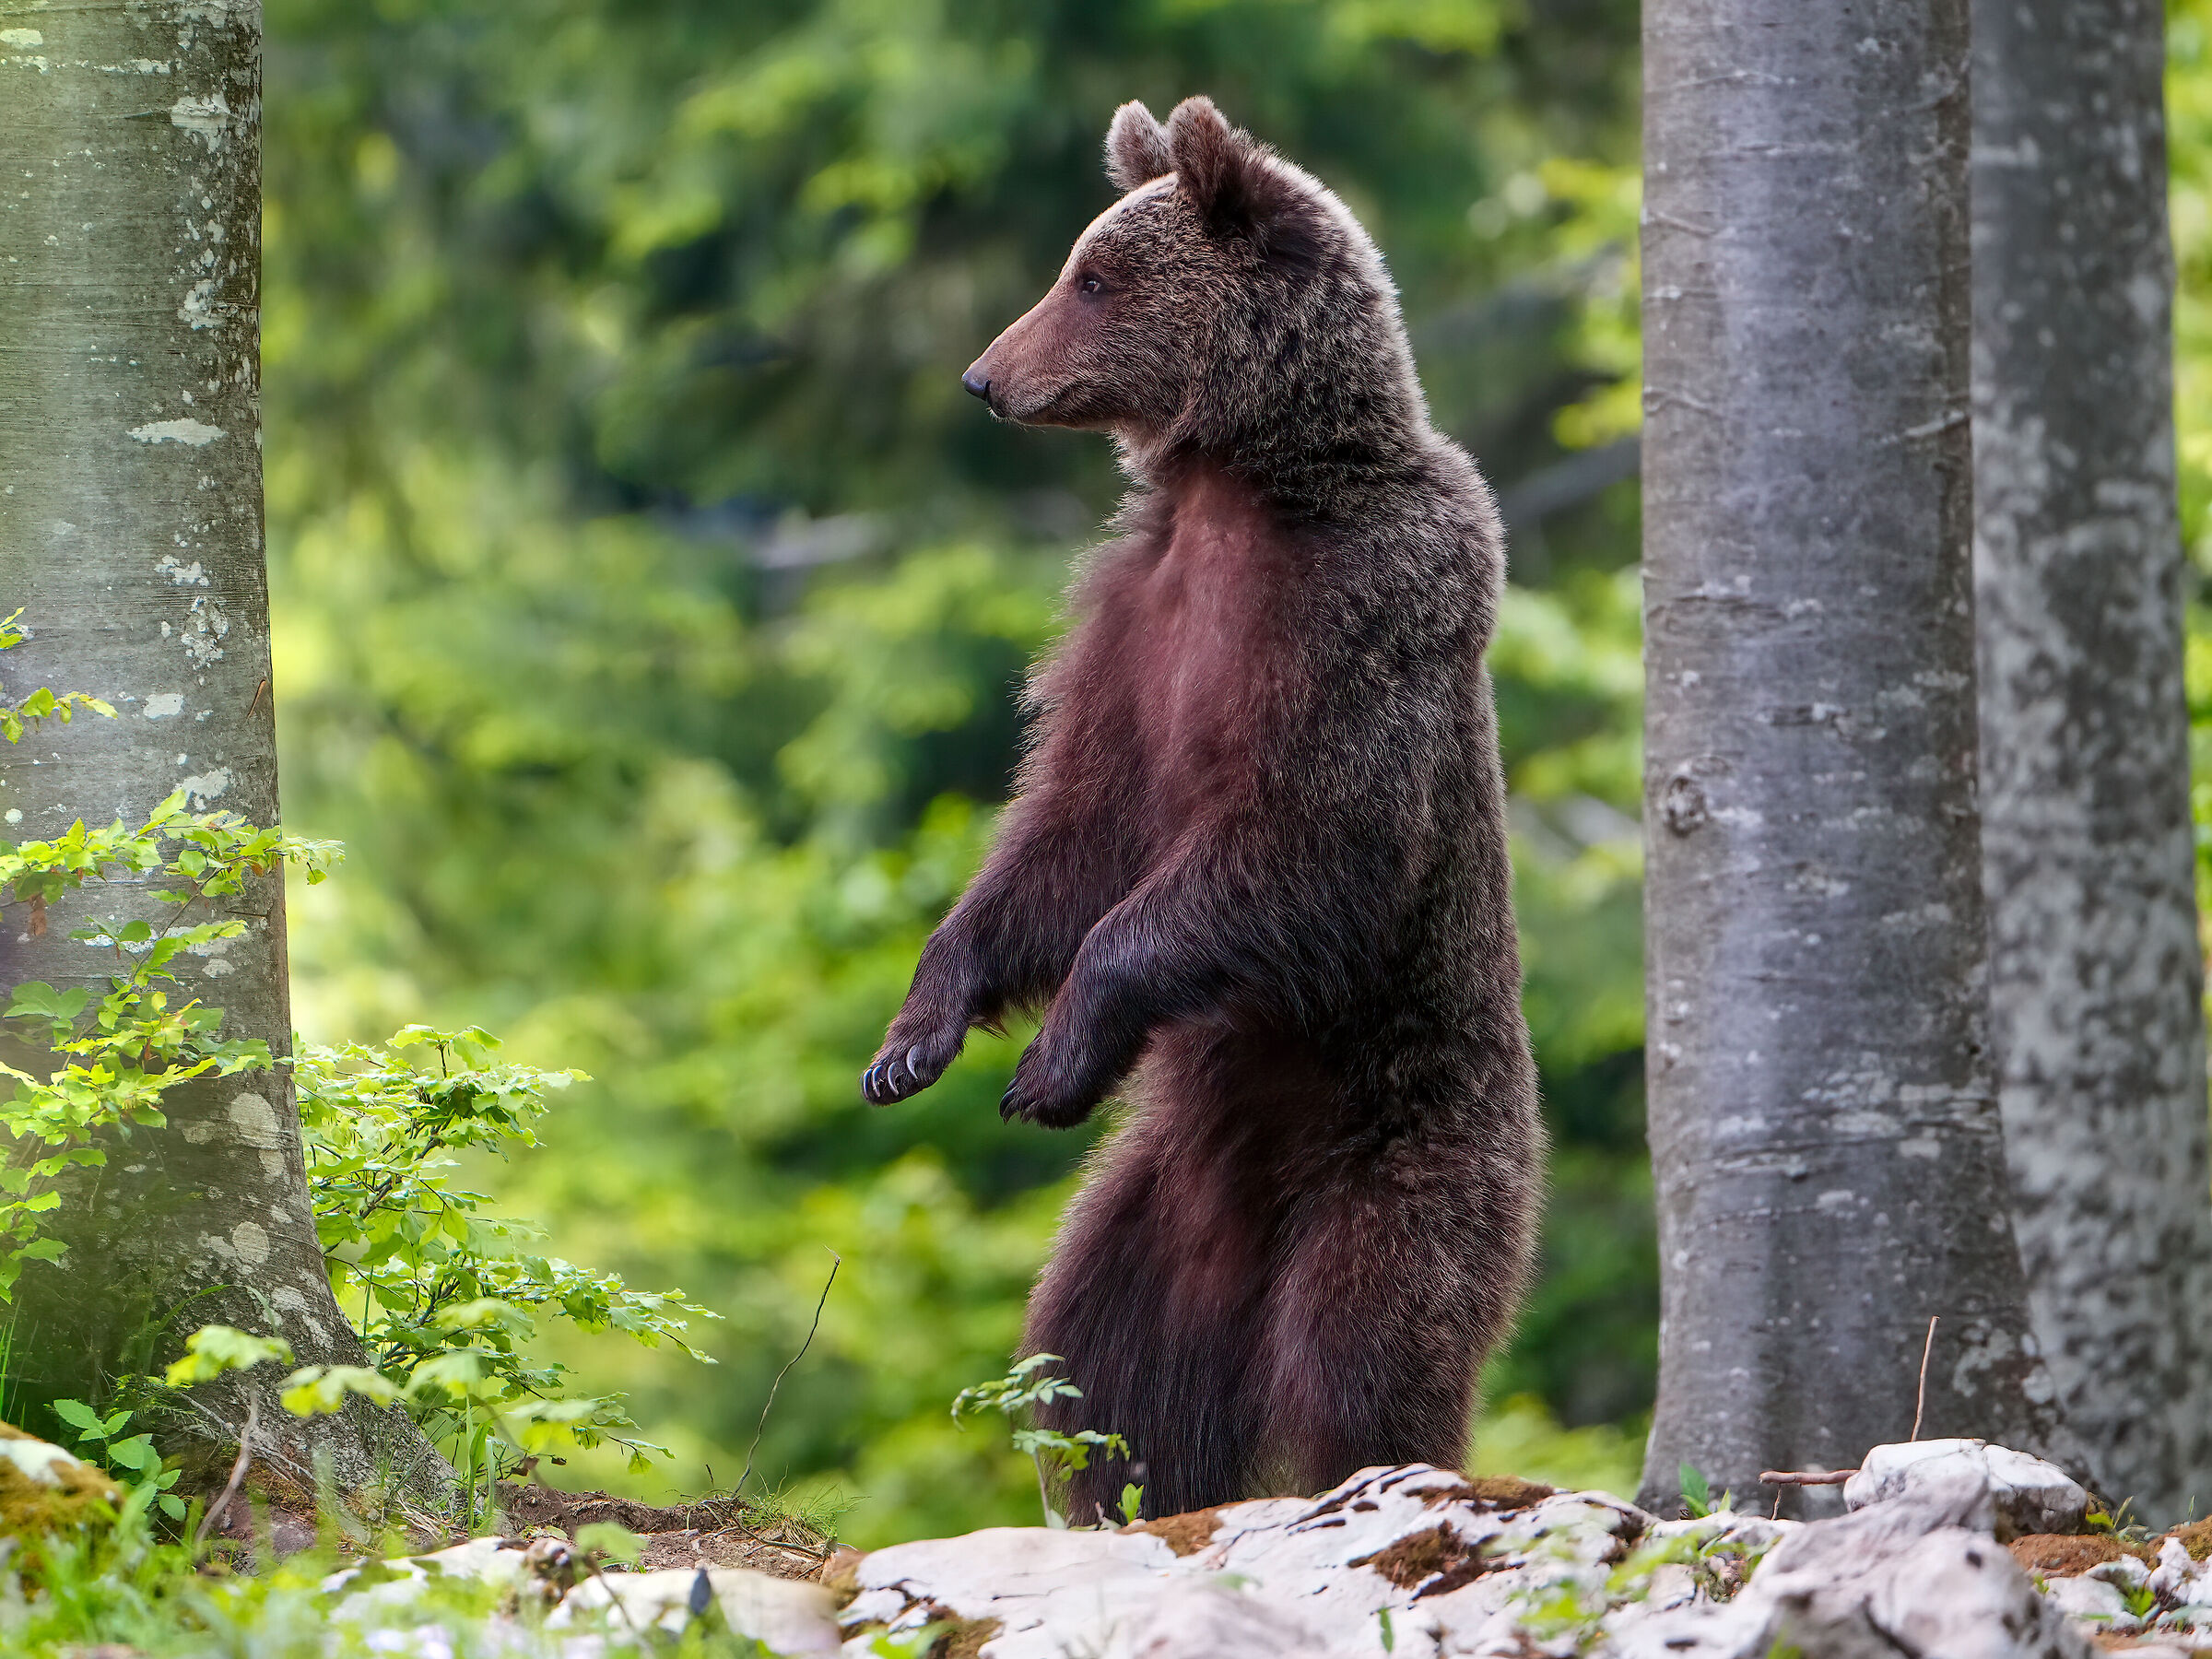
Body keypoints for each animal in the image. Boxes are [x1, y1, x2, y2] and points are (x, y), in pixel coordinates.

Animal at [862, 95, 1540, 1523]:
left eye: (1093, 276)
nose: (983, 378)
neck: (1247, 483)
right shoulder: (1135, 631)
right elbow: (1070, 831)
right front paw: (915, 1035)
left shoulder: (1365, 614)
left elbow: (1304, 841)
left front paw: (1050, 1060)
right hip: (1158, 1210)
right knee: (1097, 1363)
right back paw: (1127, 1491)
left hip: (1407, 1154)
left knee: (1365, 1349)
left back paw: (1371, 1469)